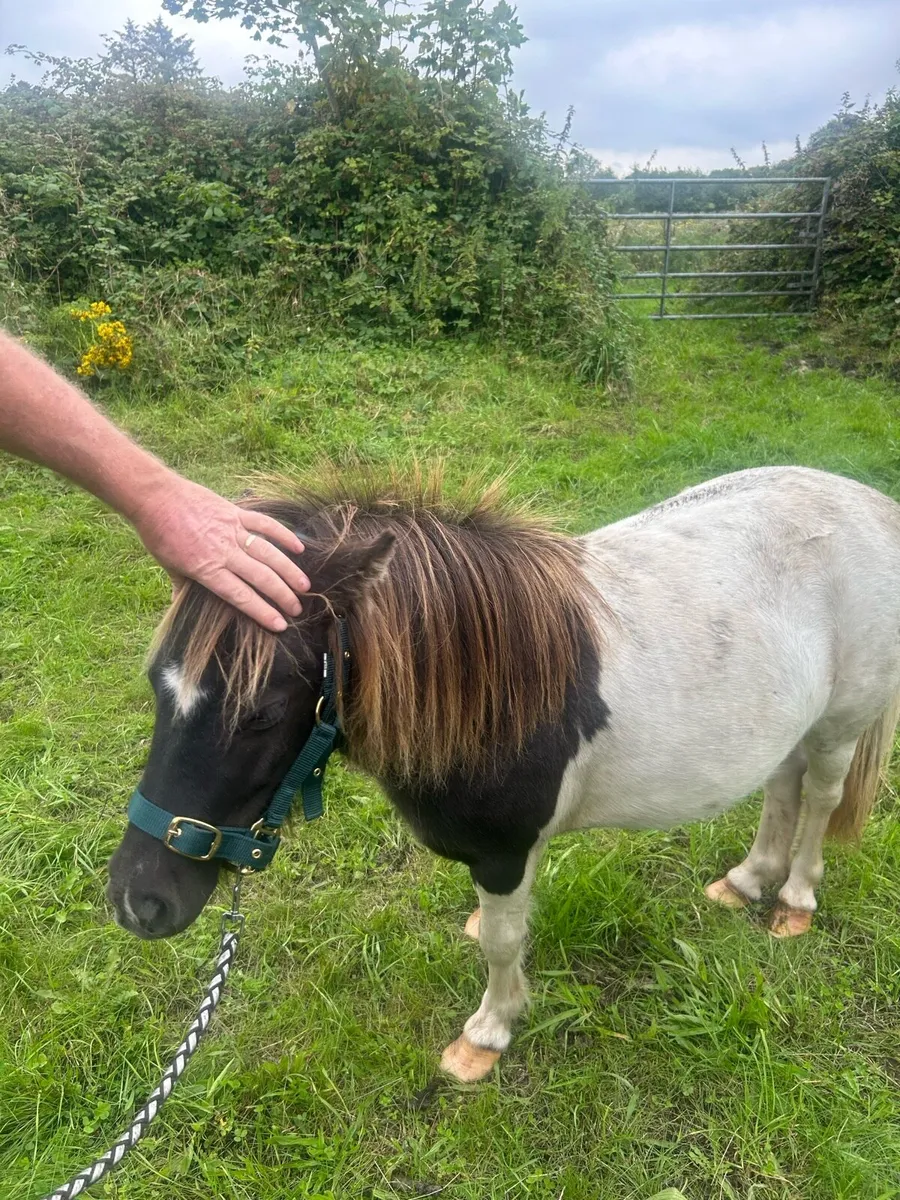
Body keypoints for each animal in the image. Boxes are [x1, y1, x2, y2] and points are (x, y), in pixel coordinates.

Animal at [107, 465, 900, 1082]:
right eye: (156, 685)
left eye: (264, 713)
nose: (138, 902)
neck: (500, 685)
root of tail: (872, 505)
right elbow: (500, 929)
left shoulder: (505, 853)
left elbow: (502, 942)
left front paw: (488, 1035)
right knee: (782, 788)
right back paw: (747, 880)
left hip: (840, 724)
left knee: (820, 796)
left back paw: (794, 899)